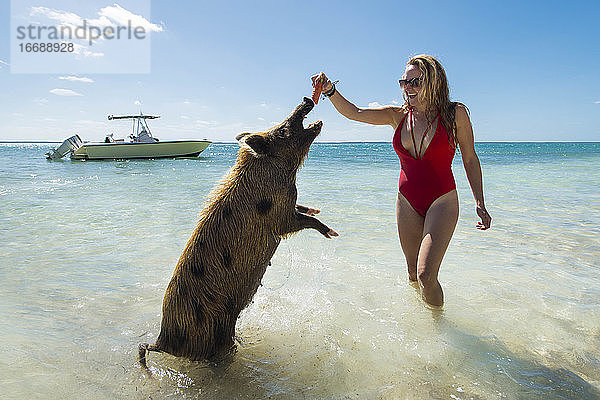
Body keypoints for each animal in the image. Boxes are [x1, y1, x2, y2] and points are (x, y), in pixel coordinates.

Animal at [139, 97, 338, 368]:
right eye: (281, 130)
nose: (306, 100)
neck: (281, 172)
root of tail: (162, 341)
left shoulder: (289, 205)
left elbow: (304, 210)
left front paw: (317, 209)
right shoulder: (279, 217)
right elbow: (300, 221)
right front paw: (331, 233)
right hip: (211, 331)